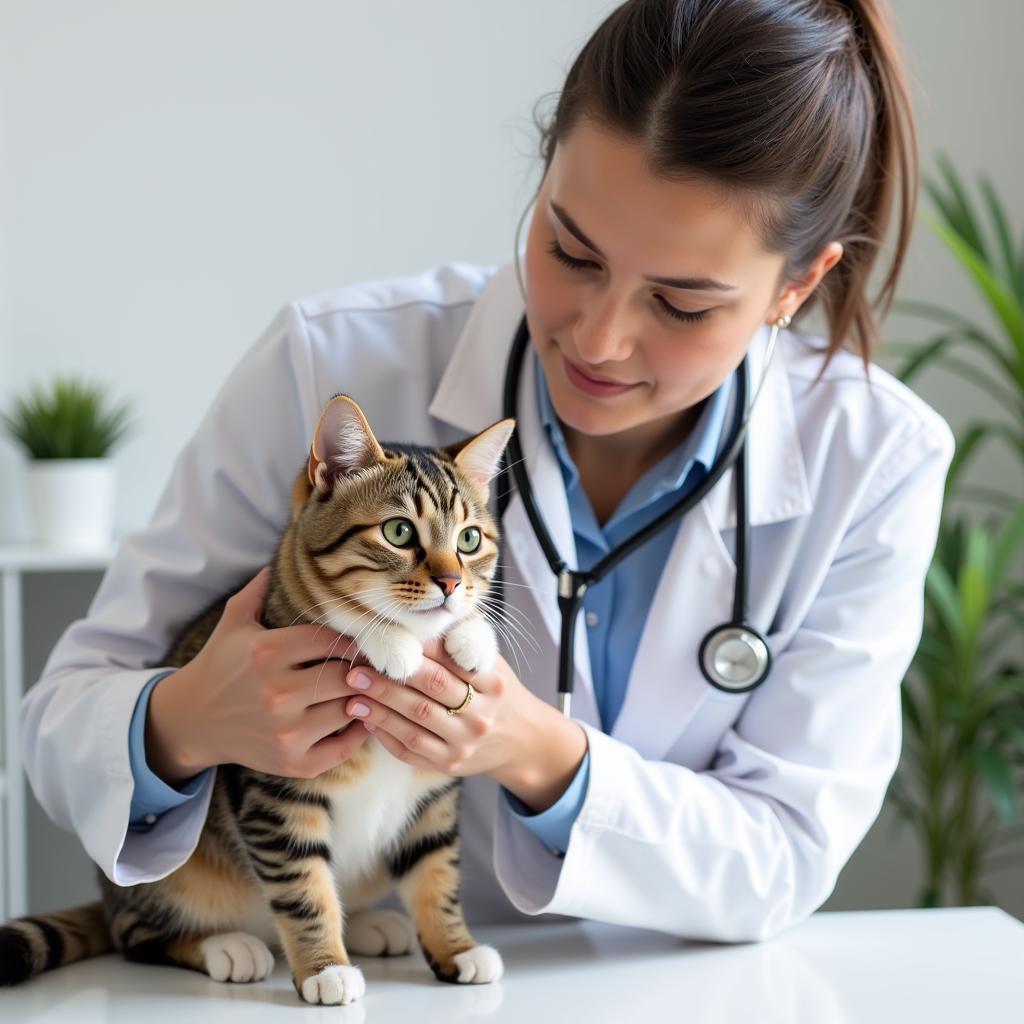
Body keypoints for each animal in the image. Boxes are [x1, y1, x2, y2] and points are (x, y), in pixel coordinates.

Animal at [0, 395, 516, 1003]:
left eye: (469, 540)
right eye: (398, 531)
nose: (452, 584)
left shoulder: (433, 792)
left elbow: (435, 871)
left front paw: (455, 949)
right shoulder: (277, 795)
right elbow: (303, 884)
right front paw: (324, 969)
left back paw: (370, 925)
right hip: (168, 881)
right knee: (138, 934)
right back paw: (226, 946)